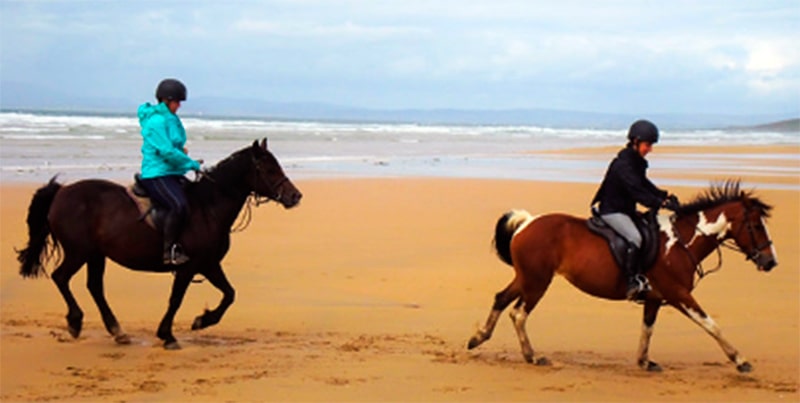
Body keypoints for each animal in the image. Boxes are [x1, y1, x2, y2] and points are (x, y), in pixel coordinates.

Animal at [15, 139, 304, 350]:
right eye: (269, 169)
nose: (295, 196)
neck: (208, 207)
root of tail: (61, 192)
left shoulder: (208, 264)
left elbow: (229, 294)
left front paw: (203, 320)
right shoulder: (189, 266)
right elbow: (176, 299)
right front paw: (168, 335)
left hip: (96, 254)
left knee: (94, 287)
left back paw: (117, 331)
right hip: (79, 251)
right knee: (61, 277)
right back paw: (76, 322)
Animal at [468, 181, 776, 374]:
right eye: (755, 226)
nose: (771, 261)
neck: (681, 241)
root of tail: (527, 222)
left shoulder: (655, 298)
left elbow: (647, 329)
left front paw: (644, 362)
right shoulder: (679, 295)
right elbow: (711, 325)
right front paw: (740, 360)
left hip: (527, 277)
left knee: (502, 299)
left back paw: (479, 337)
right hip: (537, 282)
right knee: (519, 313)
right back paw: (532, 356)